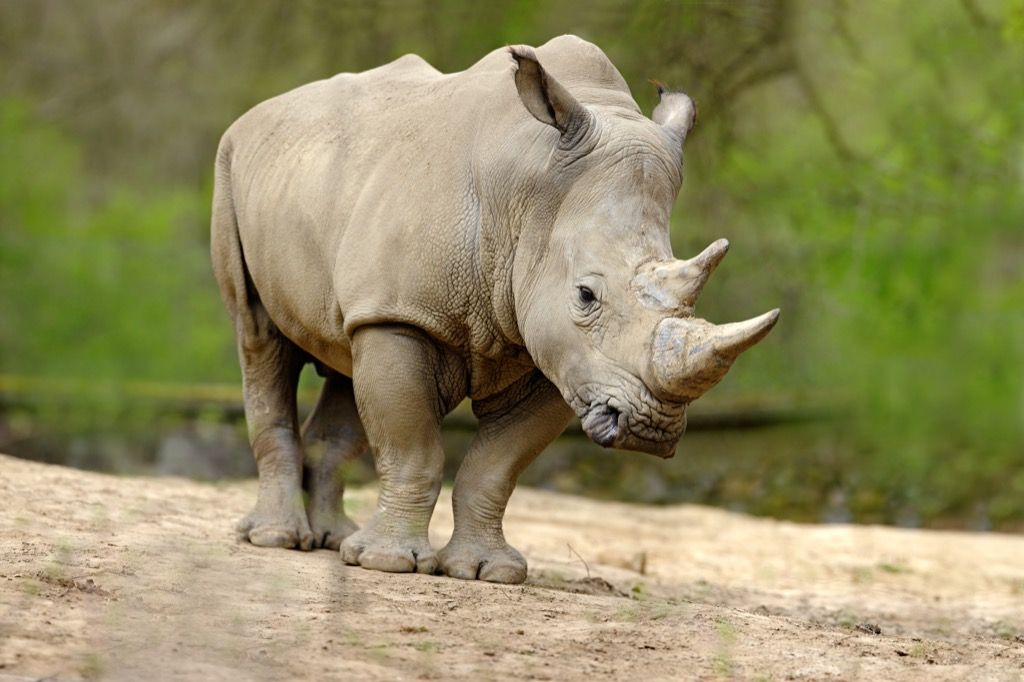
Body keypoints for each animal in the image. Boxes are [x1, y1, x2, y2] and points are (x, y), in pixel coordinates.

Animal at [211, 34, 778, 581]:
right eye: (586, 295)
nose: (650, 429)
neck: (531, 194)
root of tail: (262, 111)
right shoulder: (405, 315)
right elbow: (412, 448)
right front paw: (389, 564)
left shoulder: (561, 355)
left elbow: (497, 466)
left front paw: (487, 571)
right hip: (232, 165)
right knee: (259, 338)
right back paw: (279, 539)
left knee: (345, 357)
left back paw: (332, 539)